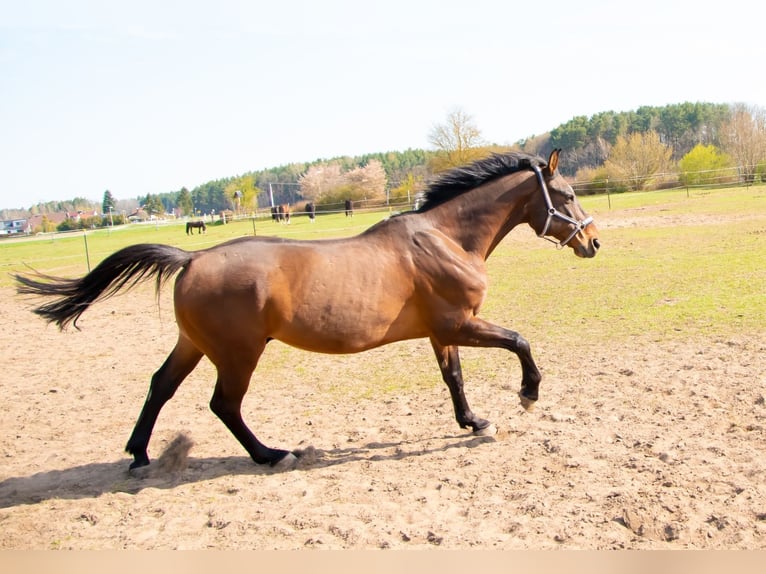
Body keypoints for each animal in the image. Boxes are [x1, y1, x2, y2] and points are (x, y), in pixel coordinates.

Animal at [13, 151, 600, 474]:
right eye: (567, 194)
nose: (593, 241)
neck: (444, 238)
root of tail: (193, 256)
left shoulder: (442, 331)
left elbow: (453, 378)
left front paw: (474, 422)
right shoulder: (460, 323)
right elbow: (520, 340)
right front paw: (527, 395)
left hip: (193, 345)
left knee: (161, 386)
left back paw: (139, 455)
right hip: (237, 354)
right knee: (224, 405)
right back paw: (272, 455)